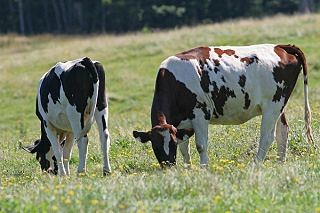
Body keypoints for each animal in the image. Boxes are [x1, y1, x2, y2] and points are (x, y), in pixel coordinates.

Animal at [134, 44, 314, 167]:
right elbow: (185, 148)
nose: (168, 166)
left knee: (267, 137)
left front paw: (204, 168)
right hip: (279, 105)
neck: (175, 82)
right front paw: (188, 169)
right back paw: (280, 163)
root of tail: (280, 46)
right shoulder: (181, 124)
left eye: (170, 145)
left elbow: (200, 145)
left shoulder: (200, 114)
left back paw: (255, 165)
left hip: (272, 106)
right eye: (155, 146)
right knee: (283, 131)